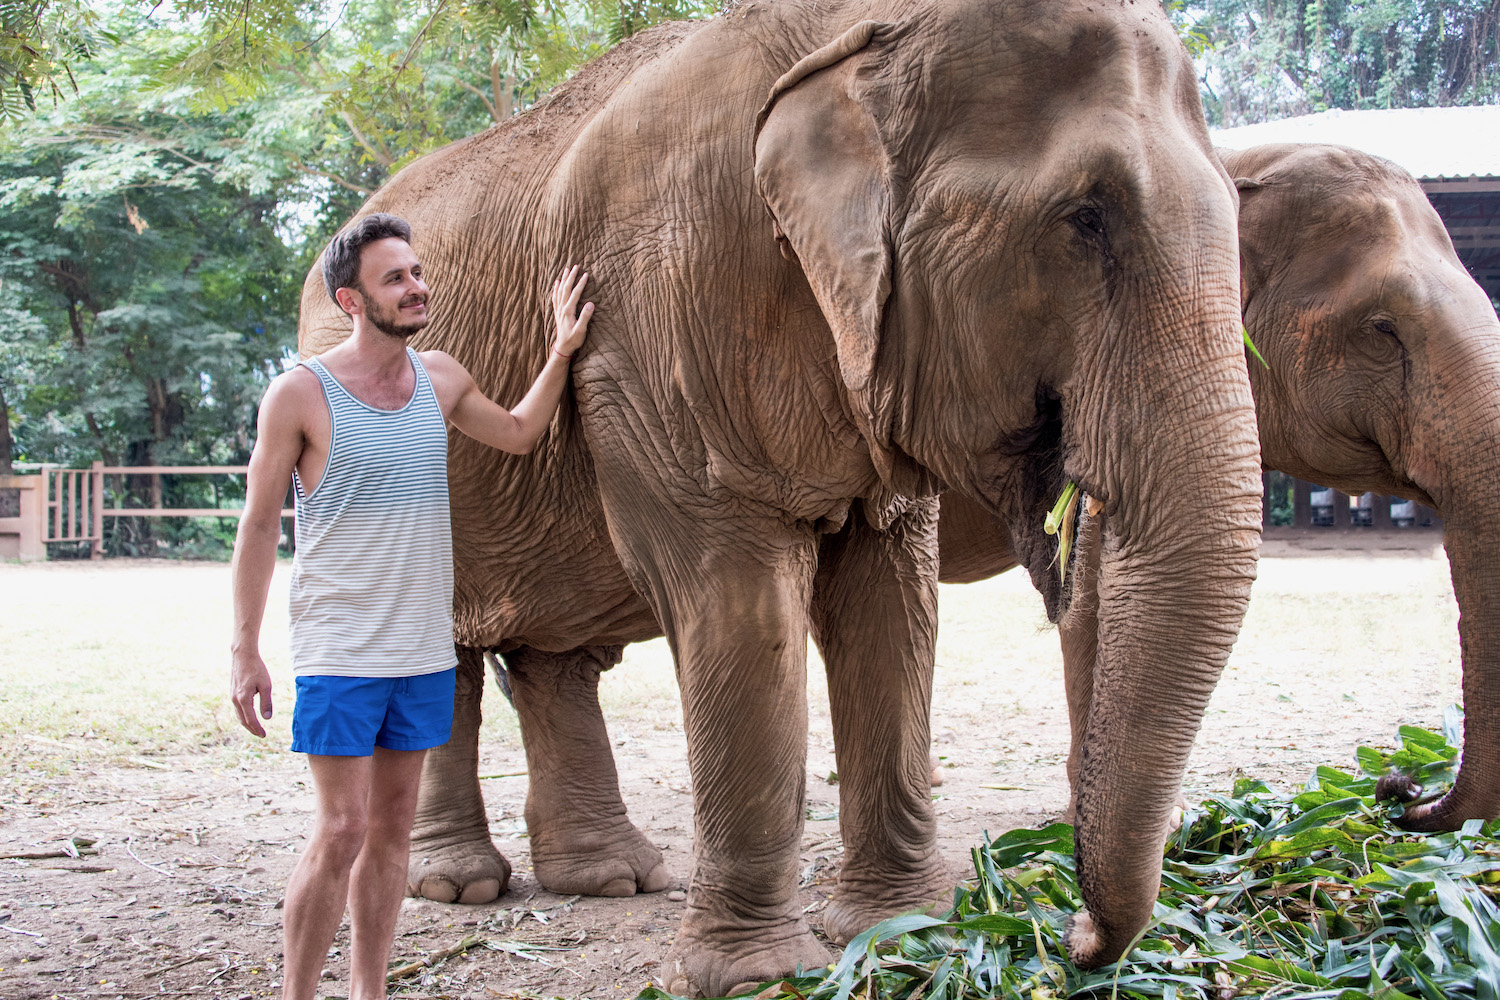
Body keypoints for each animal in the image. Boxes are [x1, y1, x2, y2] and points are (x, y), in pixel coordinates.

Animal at [295, 0, 1266, 989]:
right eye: (1085, 219)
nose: (1072, 937)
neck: (855, 32)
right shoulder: (657, 319)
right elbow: (739, 598)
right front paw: (760, 978)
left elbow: (892, 602)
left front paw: (901, 930)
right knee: (441, 655)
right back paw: (458, 887)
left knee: (553, 659)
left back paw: (612, 879)